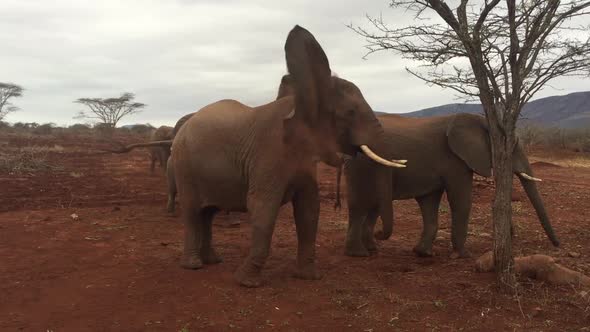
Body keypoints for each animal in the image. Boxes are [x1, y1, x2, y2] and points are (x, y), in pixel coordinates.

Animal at [171, 24, 408, 286]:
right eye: (350, 112)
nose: (378, 235)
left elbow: (309, 209)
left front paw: (309, 277)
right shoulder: (268, 153)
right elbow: (262, 207)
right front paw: (247, 282)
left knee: (208, 213)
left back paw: (213, 260)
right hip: (184, 165)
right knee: (193, 212)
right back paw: (193, 265)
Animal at [340, 113, 560, 258]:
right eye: (513, 146)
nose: (557, 246)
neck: (481, 119)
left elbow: (429, 202)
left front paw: (423, 253)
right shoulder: (455, 160)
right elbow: (460, 200)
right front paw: (463, 255)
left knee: (372, 206)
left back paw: (372, 248)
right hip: (361, 166)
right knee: (359, 205)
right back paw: (357, 253)